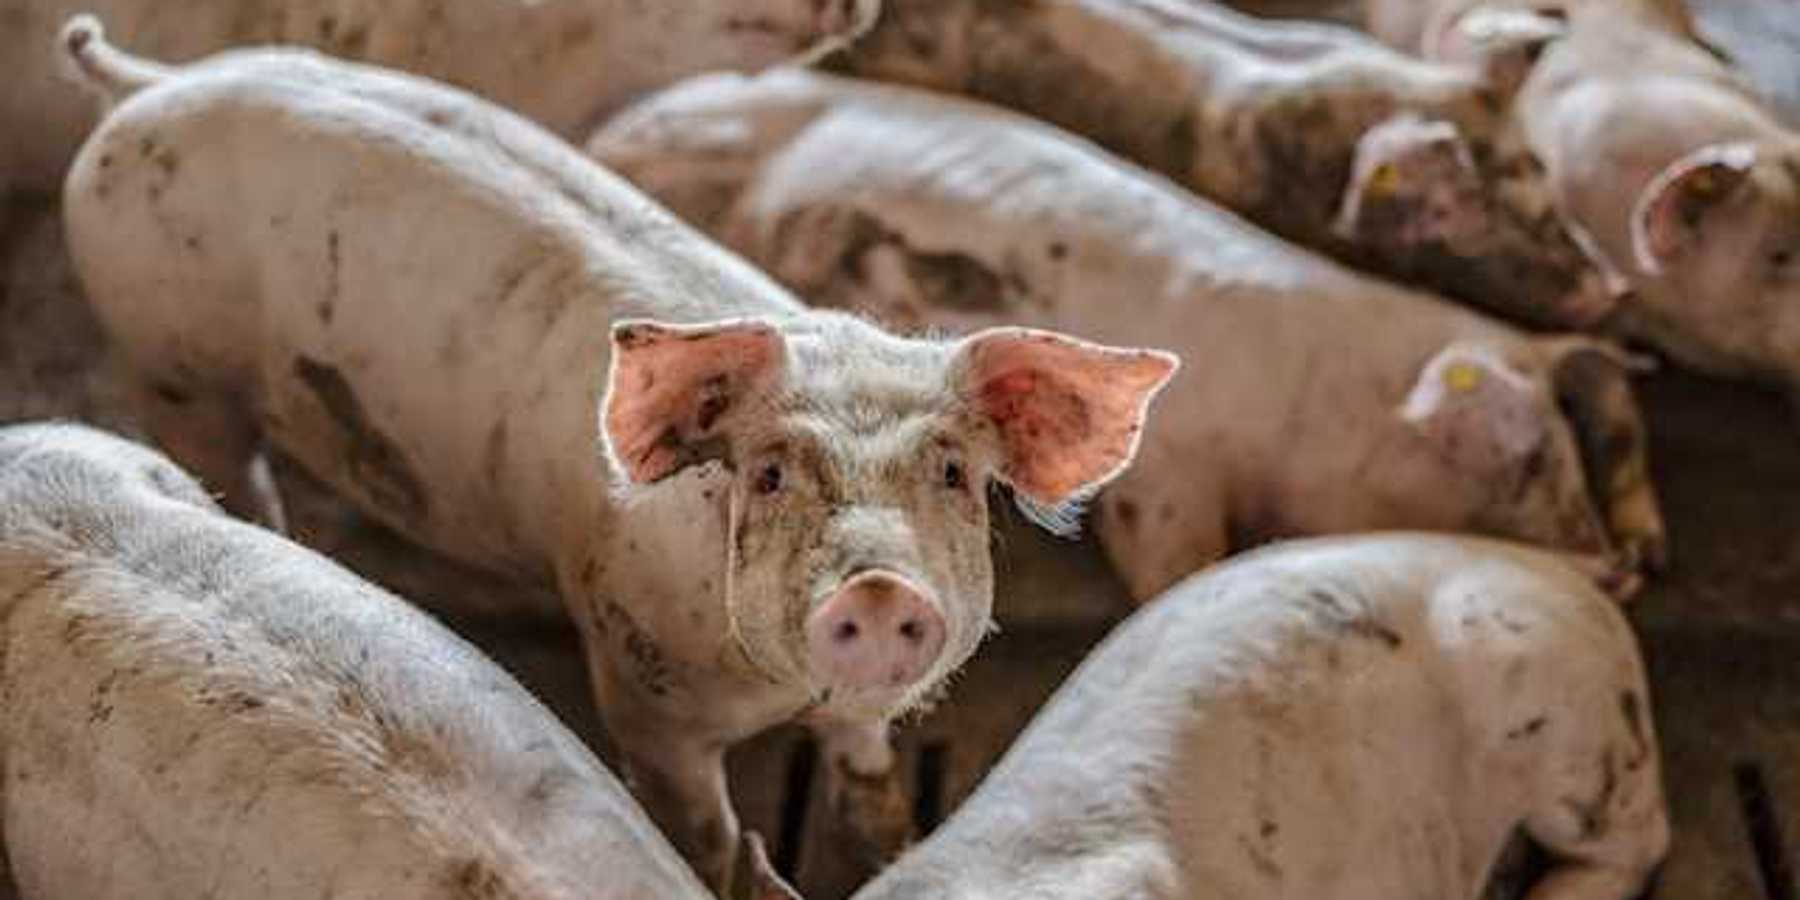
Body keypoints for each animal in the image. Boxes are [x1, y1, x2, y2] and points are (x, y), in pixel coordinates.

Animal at [589, 69, 1666, 603]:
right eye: (1519, 457)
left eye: (1564, 448)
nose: (1618, 570)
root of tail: (617, 128)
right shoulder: (1167, 485)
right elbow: (1174, 563)